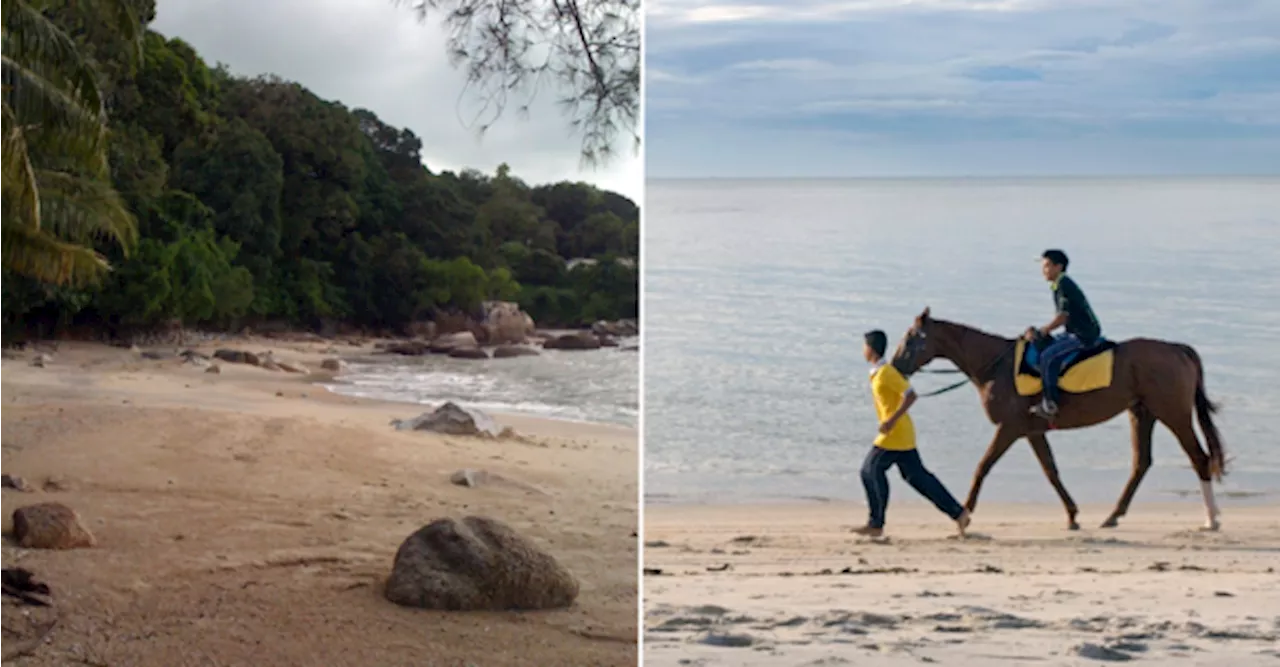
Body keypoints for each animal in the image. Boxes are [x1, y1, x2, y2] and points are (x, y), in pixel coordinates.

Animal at [890, 307, 1228, 530]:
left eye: (911, 337)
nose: (894, 366)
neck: (995, 366)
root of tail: (1178, 350)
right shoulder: (1031, 431)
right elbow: (1050, 471)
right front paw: (1072, 515)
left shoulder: (1009, 428)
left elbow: (983, 467)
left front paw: (965, 515)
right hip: (1142, 413)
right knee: (1141, 462)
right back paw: (1113, 516)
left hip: (1173, 414)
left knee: (1198, 458)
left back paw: (1211, 518)